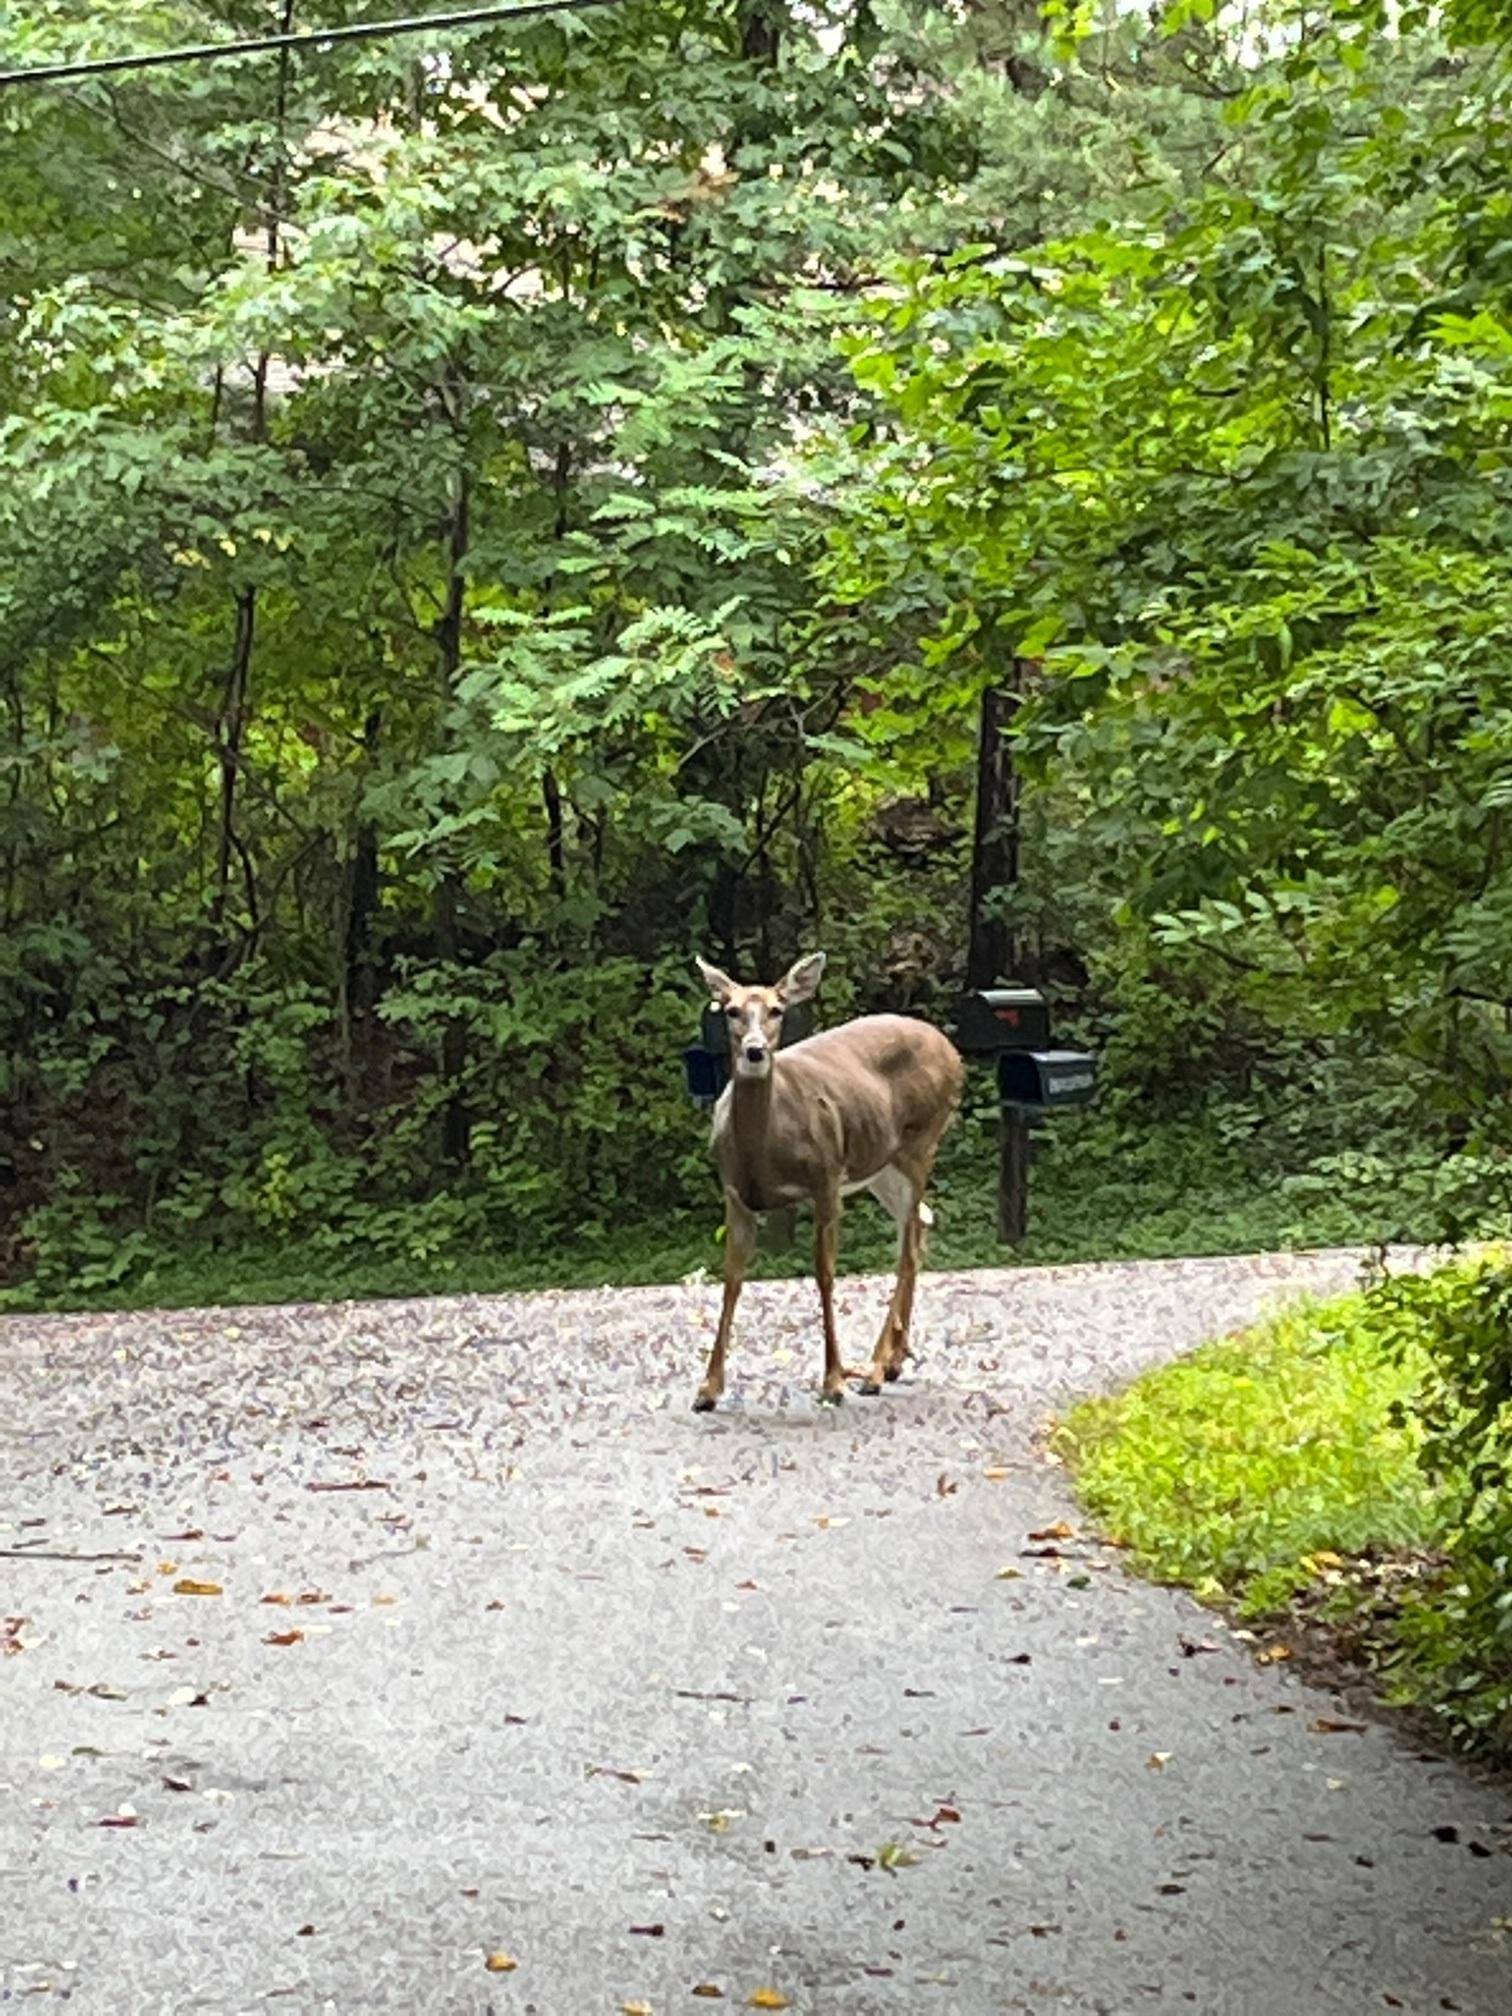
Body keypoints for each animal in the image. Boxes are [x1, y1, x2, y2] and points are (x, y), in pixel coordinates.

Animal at [693, 947, 963, 1411]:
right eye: (730, 1010)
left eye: (777, 1009)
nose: (754, 1051)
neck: (763, 1148)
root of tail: (952, 1051)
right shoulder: (734, 1191)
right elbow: (731, 1277)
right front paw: (708, 1389)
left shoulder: (826, 1178)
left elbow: (824, 1273)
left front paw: (833, 1380)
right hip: (880, 1167)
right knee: (919, 1226)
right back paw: (891, 1362)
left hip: (920, 1142)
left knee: (908, 1245)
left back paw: (873, 1371)